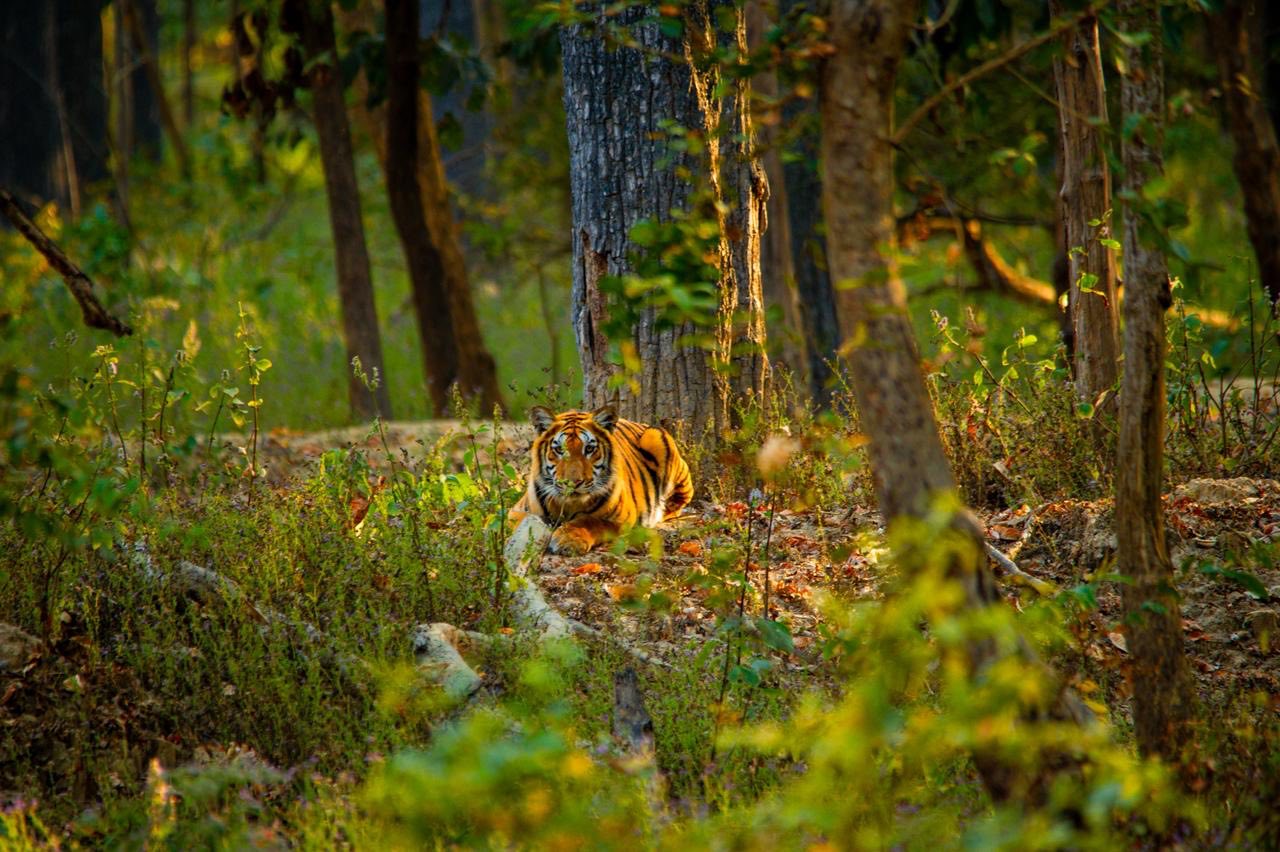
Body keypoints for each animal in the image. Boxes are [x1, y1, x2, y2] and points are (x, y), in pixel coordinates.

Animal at [509, 406, 694, 556]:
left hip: (657, 439)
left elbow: (590, 521)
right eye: (559, 449)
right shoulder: (516, 510)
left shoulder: (622, 519)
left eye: (589, 449)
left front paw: (569, 540)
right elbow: (519, 520)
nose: (573, 483)